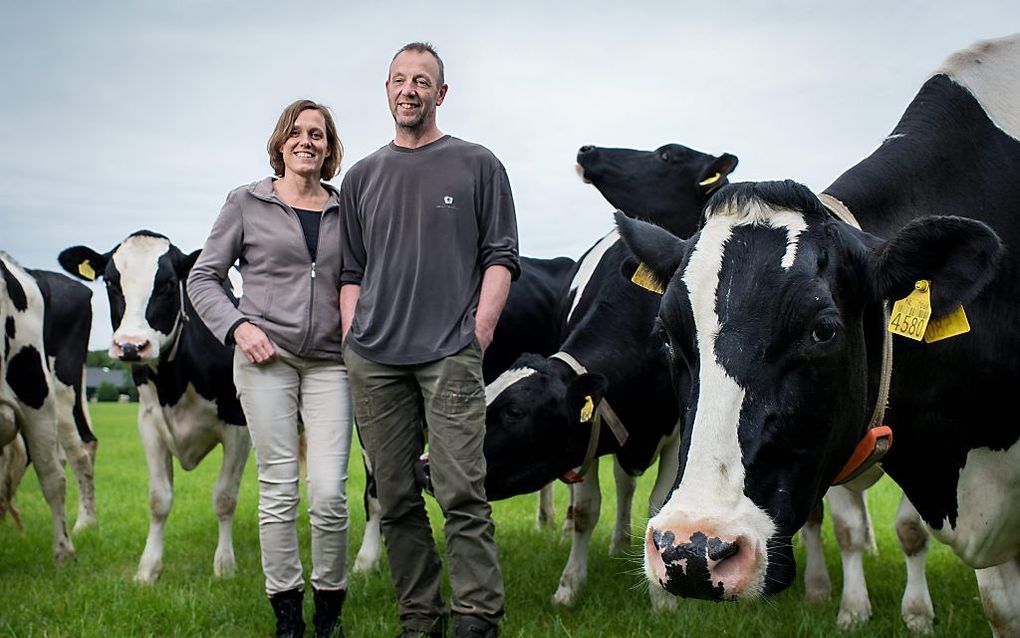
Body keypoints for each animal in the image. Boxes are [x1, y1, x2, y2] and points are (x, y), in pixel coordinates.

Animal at [59, 231, 250, 583]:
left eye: (167, 283)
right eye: (111, 282)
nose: (131, 346)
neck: (175, 382)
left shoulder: (238, 425)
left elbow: (225, 497)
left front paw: (225, 565)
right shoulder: (149, 424)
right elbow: (159, 500)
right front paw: (148, 569)